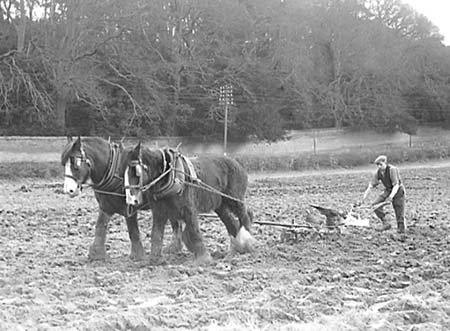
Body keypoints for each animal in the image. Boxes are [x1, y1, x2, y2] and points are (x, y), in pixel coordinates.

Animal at [125, 143, 255, 264]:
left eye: (135, 172)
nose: (131, 199)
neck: (170, 176)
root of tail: (238, 164)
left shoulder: (189, 209)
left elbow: (194, 231)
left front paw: (204, 258)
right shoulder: (159, 212)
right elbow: (156, 234)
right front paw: (154, 259)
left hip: (234, 199)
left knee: (245, 215)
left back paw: (247, 241)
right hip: (220, 206)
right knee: (231, 222)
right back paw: (237, 246)